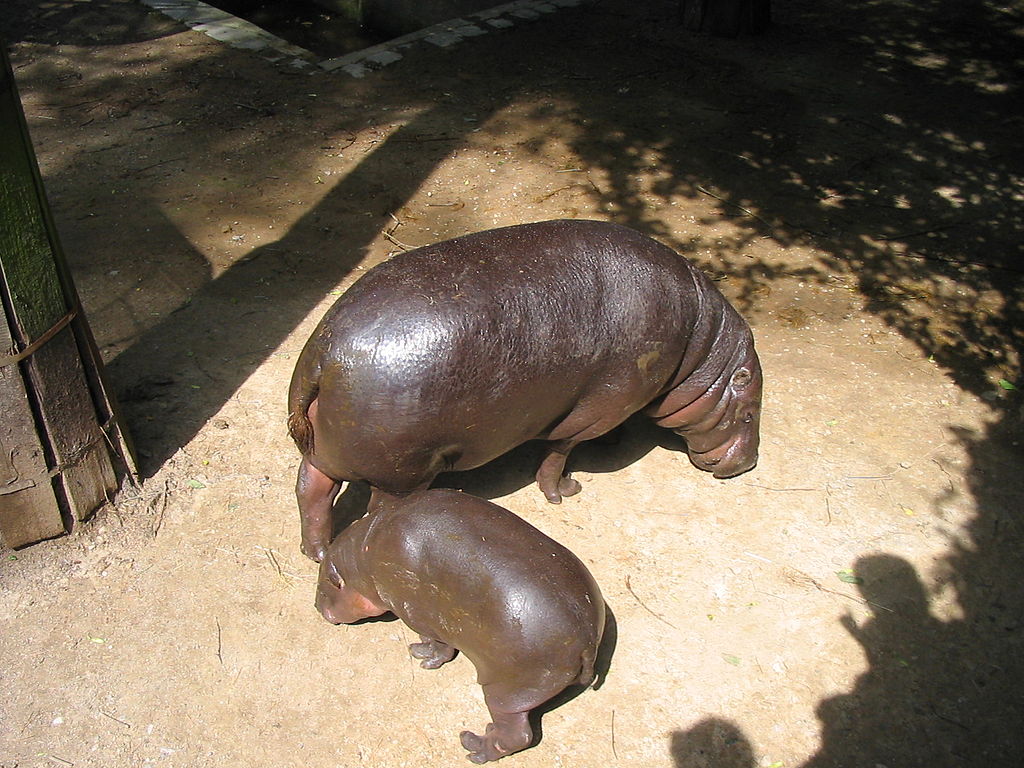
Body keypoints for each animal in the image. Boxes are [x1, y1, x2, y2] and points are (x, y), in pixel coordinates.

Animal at [289, 219, 762, 561]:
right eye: (749, 413)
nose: (749, 462)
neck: (703, 353)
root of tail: (325, 352)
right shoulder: (594, 411)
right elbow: (558, 454)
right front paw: (565, 492)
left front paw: (614, 444)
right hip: (402, 476)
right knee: (375, 511)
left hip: (328, 454)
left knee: (311, 491)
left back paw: (317, 552)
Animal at [315, 488, 606, 763]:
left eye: (322, 588)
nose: (317, 607)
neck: (362, 555)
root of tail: (587, 640)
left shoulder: (413, 612)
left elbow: (436, 642)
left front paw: (421, 656)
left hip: (505, 690)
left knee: (517, 734)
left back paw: (475, 745)